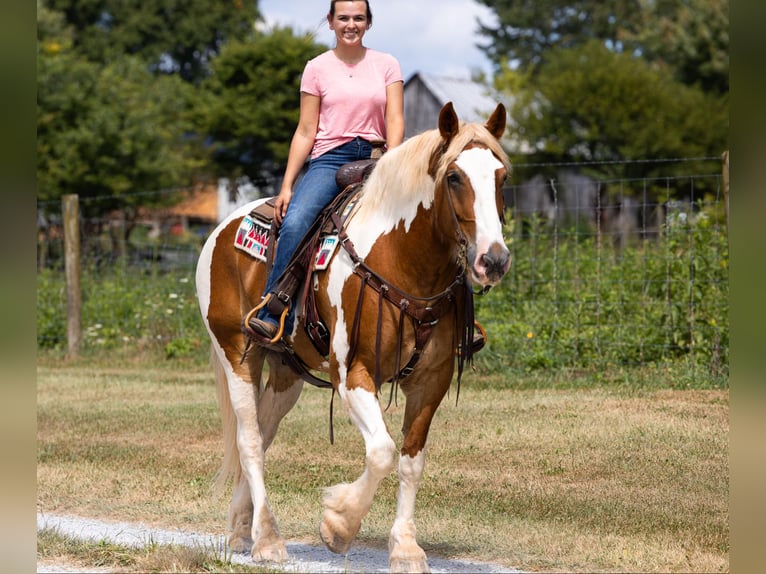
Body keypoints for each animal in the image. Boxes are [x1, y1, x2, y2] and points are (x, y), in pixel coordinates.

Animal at [195, 102, 511, 573]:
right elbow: (381, 451)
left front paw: (405, 547)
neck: (402, 260)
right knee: (249, 441)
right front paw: (338, 525)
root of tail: (220, 230)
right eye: (454, 177)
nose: (494, 260)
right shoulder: (353, 373)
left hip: (286, 371)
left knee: (265, 432)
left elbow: (410, 460)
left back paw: (241, 527)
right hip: (237, 353)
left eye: (501, 177)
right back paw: (267, 538)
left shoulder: (431, 381)